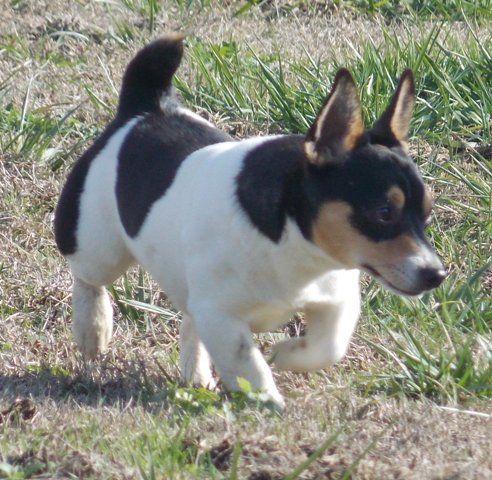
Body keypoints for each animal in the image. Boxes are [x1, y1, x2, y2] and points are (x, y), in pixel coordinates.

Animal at [53, 34, 446, 408]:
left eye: (427, 212)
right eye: (384, 213)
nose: (437, 274)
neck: (296, 247)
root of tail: (147, 108)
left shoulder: (336, 300)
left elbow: (329, 345)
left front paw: (287, 355)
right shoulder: (221, 316)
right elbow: (247, 362)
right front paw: (267, 399)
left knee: (189, 321)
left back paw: (196, 375)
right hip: (98, 243)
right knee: (87, 278)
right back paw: (93, 328)